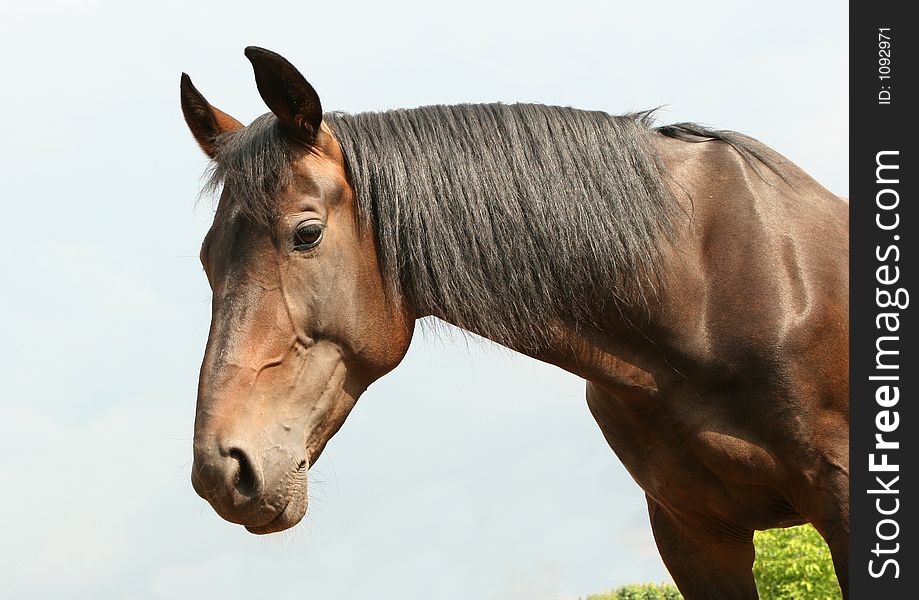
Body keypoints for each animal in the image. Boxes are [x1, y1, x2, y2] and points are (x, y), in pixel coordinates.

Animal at [183, 48, 852, 600]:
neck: (708, 288)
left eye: (306, 234)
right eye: (207, 257)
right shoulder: (692, 533)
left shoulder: (842, 499)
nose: (222, 469)